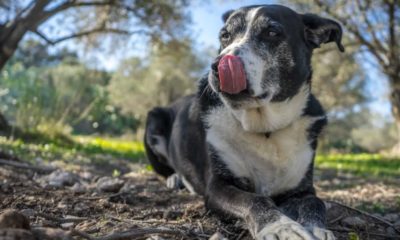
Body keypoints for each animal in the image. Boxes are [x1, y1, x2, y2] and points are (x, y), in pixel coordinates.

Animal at [144, 4, 344, 240]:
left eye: (272, 32)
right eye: (225, 35)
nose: (216, 66)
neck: (264, 128)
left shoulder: (302, 189)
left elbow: (316, 202)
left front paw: (318, 228)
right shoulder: (218, 187)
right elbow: (255, 200)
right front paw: (280, 227)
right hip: (153, 122)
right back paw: (175, 179)